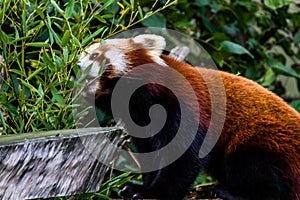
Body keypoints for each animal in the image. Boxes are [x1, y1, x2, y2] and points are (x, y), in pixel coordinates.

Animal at [78, 33, 300, 199]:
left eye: (95, 55)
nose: (77, 66)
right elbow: (152, 154)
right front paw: (140, 187)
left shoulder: (184, 109)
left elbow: (184, 158)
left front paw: (154, 193)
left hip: (265, 145)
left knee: (262, 176)